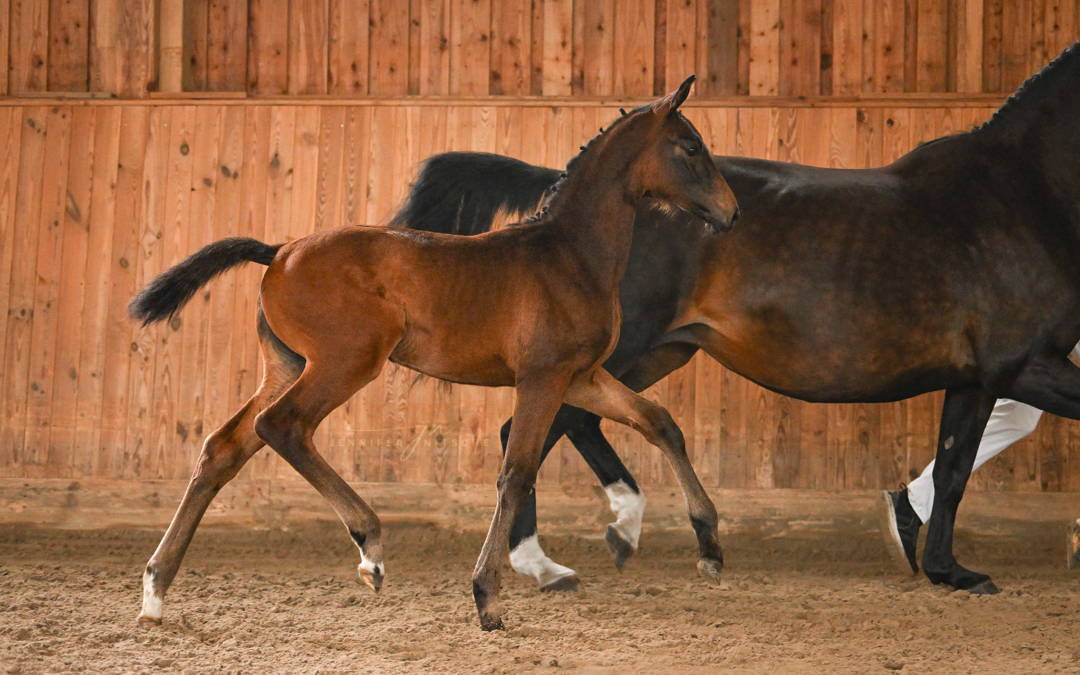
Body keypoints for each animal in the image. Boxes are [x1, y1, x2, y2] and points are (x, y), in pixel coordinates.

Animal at [128, 78, 743, 630]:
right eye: (690, 147)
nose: (732, 213)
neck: (569, 256)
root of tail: (278, 251)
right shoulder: (541, 378)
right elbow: (516, 472)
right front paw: (486, 598)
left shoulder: (582, 376)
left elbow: (660, 423)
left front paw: (708, 548)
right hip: (345, 363)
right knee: (282, 426)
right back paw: (370, 548)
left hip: (286, 365)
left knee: (223, 448)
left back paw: (156, 591)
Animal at [393, 40, 1080, 596]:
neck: (1023, 194)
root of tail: (565, 208)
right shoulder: (1021, 366)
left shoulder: (979, 377)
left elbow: (957, 467)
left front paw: (945, 568)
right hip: (609, 353)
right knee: (532, 433)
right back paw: (548, 563)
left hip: (651, 353)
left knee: (582, 425)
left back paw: (620, 532)